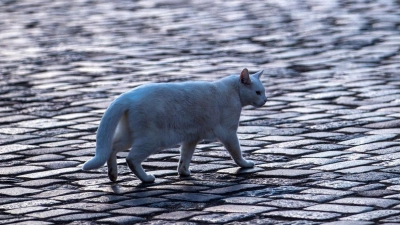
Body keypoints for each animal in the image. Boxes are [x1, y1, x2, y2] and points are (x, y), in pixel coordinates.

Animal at [82, 68, 268, 183]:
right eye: (258, 92)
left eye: (264, 92)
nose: (265, 100)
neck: (233, 92)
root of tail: (127, 96)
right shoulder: (228, 133)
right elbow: (237, 153)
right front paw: (245, 164)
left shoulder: (191, 138)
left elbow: (184, 157)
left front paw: (183, 172)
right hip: (150, 140)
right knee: (131, 159)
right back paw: (146, 179)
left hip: (130, 136)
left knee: (112, 148)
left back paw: (113, 175)